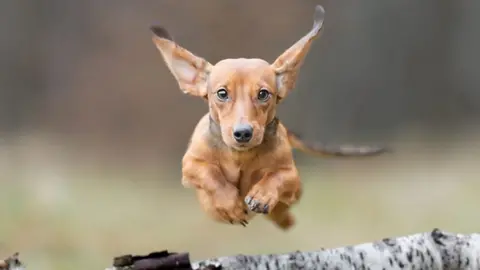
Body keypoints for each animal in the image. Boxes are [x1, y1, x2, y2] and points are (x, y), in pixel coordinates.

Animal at [150, 5, 386, 230]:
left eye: (263, 94)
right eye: (222, 93)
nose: (243, 133)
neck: (240, 156)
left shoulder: (292, 176)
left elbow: (277, 176)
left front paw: (262, 195)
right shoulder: (190, 166)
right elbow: (210, 173)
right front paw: (229, 203)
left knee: (282, 212)